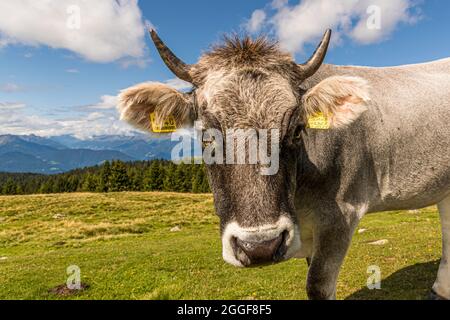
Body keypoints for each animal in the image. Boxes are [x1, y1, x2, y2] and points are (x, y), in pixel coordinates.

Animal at [118, 30, 450, 300]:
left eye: (296, 130)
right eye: (207, 133)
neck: (299, 200)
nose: (259, 247)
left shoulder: (342, 214)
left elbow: (317, 285)